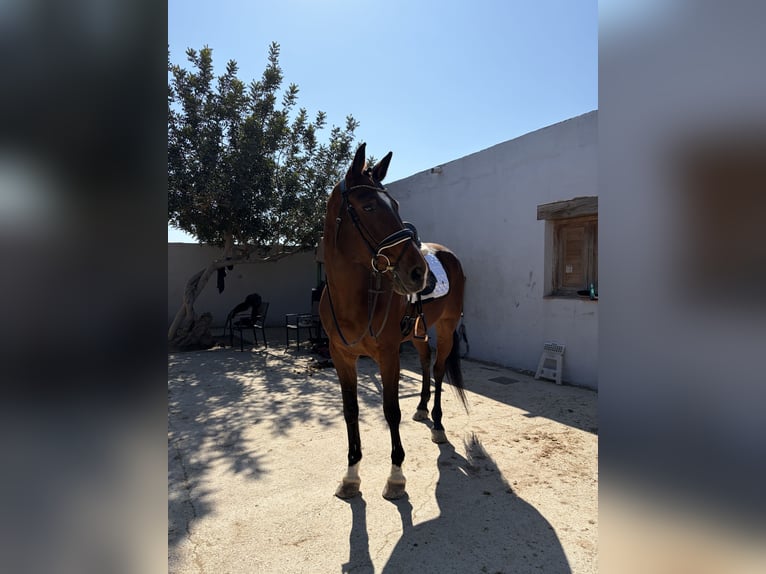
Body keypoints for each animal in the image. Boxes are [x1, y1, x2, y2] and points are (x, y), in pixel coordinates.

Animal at [319, 143, 467, 500]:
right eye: (369, 205)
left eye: (396, 205)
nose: (418, 273)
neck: (354, 299)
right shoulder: (341, 357)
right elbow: (351, 411)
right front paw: (351, 475)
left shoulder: (388, 356)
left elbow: (391, 411)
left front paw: (396, 476)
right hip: (417, 333)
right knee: (426, 362)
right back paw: (422, 408)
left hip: (446, 328)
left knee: (438, 370)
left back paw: (437, 424)